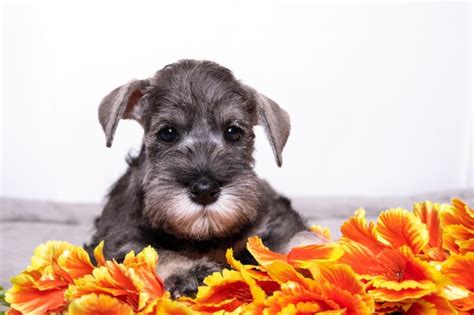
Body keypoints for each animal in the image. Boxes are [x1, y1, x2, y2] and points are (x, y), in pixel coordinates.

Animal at [86, 59, 312, 298]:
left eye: (233, 132)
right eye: (167, 133)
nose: (205, 190)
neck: (203, 236)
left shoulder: (274, 219)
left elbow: (295, 237)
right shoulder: (118, 238)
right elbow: (154, 252)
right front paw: (191, 273)